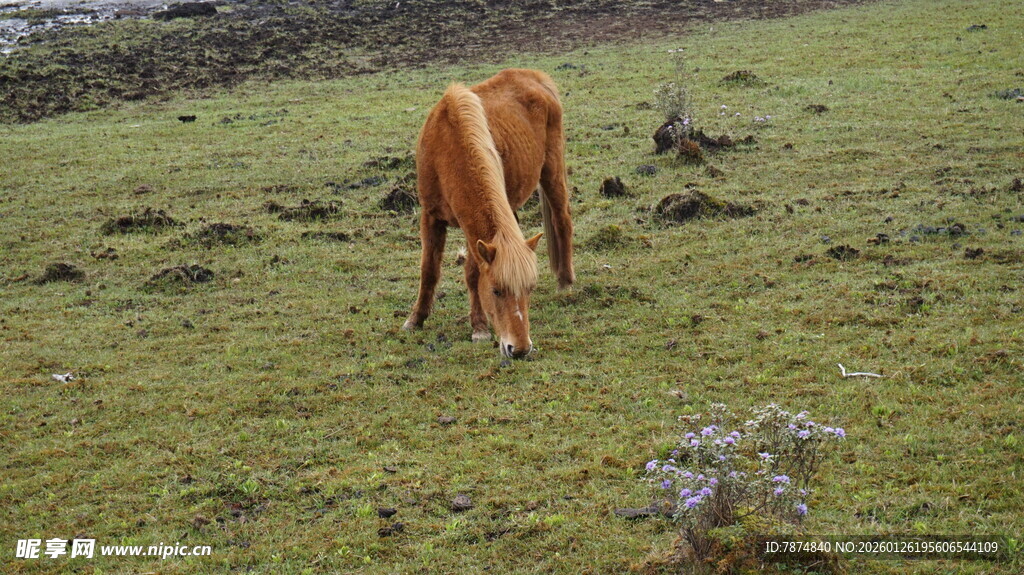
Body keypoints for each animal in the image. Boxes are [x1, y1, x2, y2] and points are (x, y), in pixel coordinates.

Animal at [402, 69, 575, 359]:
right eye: (496, 291)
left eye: (529, 289)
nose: (519, 349)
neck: (448, 146)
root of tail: (537, 77)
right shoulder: (431, 215)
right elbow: (429, 269)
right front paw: (416, 319)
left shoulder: (472, 232)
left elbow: (472, 275)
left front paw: (479, 328)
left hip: (551, 169)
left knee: (562, 220)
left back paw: (565, 282)